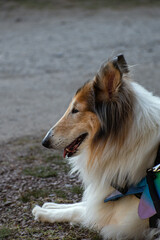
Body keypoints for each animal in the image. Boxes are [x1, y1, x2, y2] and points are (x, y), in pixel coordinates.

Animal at [32, 54, 160, 240]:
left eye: (75, 110)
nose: (44, 142)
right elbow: (83, 204)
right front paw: (52, 205)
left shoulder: (128, 220)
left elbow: (83, 210)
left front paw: (45, 212)